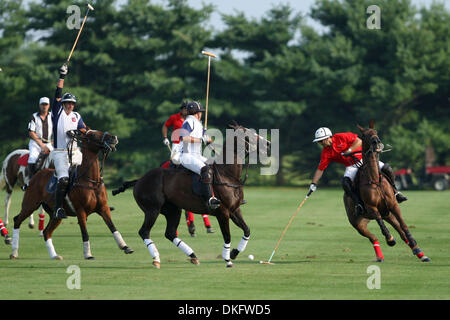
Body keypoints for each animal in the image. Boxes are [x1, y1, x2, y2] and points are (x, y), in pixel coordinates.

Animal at [9, 130, 133, 260]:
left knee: (47, 231)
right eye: (93, 134)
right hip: (30, 205)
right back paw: (14, 252)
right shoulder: (80, 211)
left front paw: (125, 247)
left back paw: (54, 255)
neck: (91, 181)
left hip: (55, 215)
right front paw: (88, 254)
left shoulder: (103, 208)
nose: (114, 137)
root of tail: (35, 177)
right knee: (17, 220)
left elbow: (113, 227)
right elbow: (85, 233)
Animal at [112, 122, 270, 268]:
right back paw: (156, 258)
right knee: (144, 232)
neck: (227, 174)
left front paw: (234, 253)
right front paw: (228, 260)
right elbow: (227, 236)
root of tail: (139, 180)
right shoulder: (223, 212)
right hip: (152, 210)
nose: (268, 144)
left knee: (170, 233)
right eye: (248, 134)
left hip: (173, 210)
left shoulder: (235, 210)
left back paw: (193, 256)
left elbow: (247, 230)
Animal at [346, 122, 430, 262]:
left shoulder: (393, 205)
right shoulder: (372, 208)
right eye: (363, 135)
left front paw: (414, 242)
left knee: (401, 233)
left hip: (388, 214)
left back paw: (420, 254)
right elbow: (382, 225)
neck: (374, 179)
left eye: (376, 132)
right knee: (373, 236)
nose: (376, 142)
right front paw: (390, 239)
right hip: (359, 223)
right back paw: (380, 255)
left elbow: (404, 226)